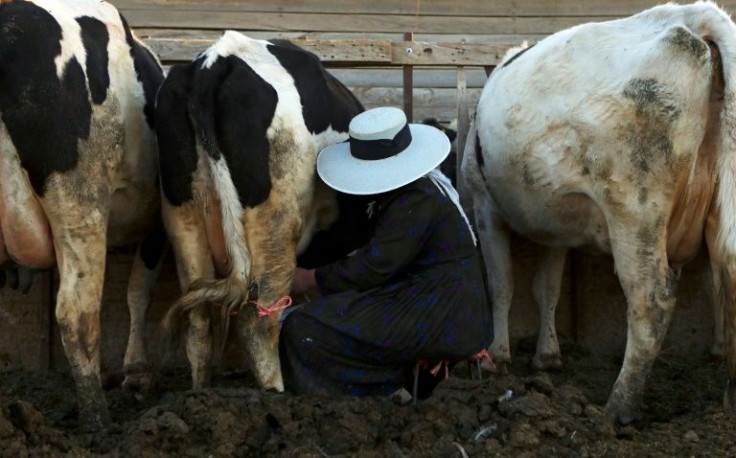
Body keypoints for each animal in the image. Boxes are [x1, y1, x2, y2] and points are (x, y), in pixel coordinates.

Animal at [0, 0, 164, 432]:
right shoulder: (159, 224)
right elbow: (138, 291)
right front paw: (136, 373)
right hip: (80, 201)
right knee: (77, 312)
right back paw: (97, 422)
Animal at [159, 31, 368, 390]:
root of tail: (218, 59)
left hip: (185, 218)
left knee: (198, 321)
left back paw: (199, 393)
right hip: (276, 223)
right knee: (258, 319)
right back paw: (276, 392)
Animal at [462, 0, 736, 426]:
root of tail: (697, 17)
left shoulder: (484, 205)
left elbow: (502, 282)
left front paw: (496, 357)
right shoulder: (553, 226)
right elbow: (547, 287)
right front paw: (547, 356)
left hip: (635, 207)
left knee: (651, 301)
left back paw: (618, 406)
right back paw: (731, 401)